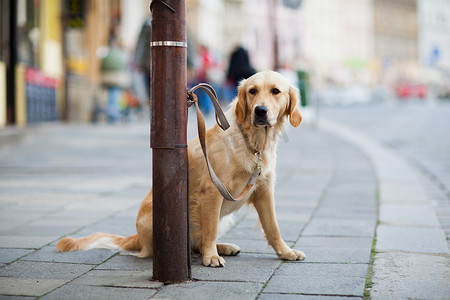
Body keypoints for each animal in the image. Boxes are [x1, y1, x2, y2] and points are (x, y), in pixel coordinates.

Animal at [54, 71, 304, 268]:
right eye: (252, 91)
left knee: (198, 242)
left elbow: (273, 227)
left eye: (275, 91)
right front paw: (211, 257)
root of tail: (136, 237)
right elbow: (210, 230)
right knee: (190, 243)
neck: (252, 142)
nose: (260, 111)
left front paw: (285, 252)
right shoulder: (213, 191)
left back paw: (223, 246)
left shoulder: (264, 191)